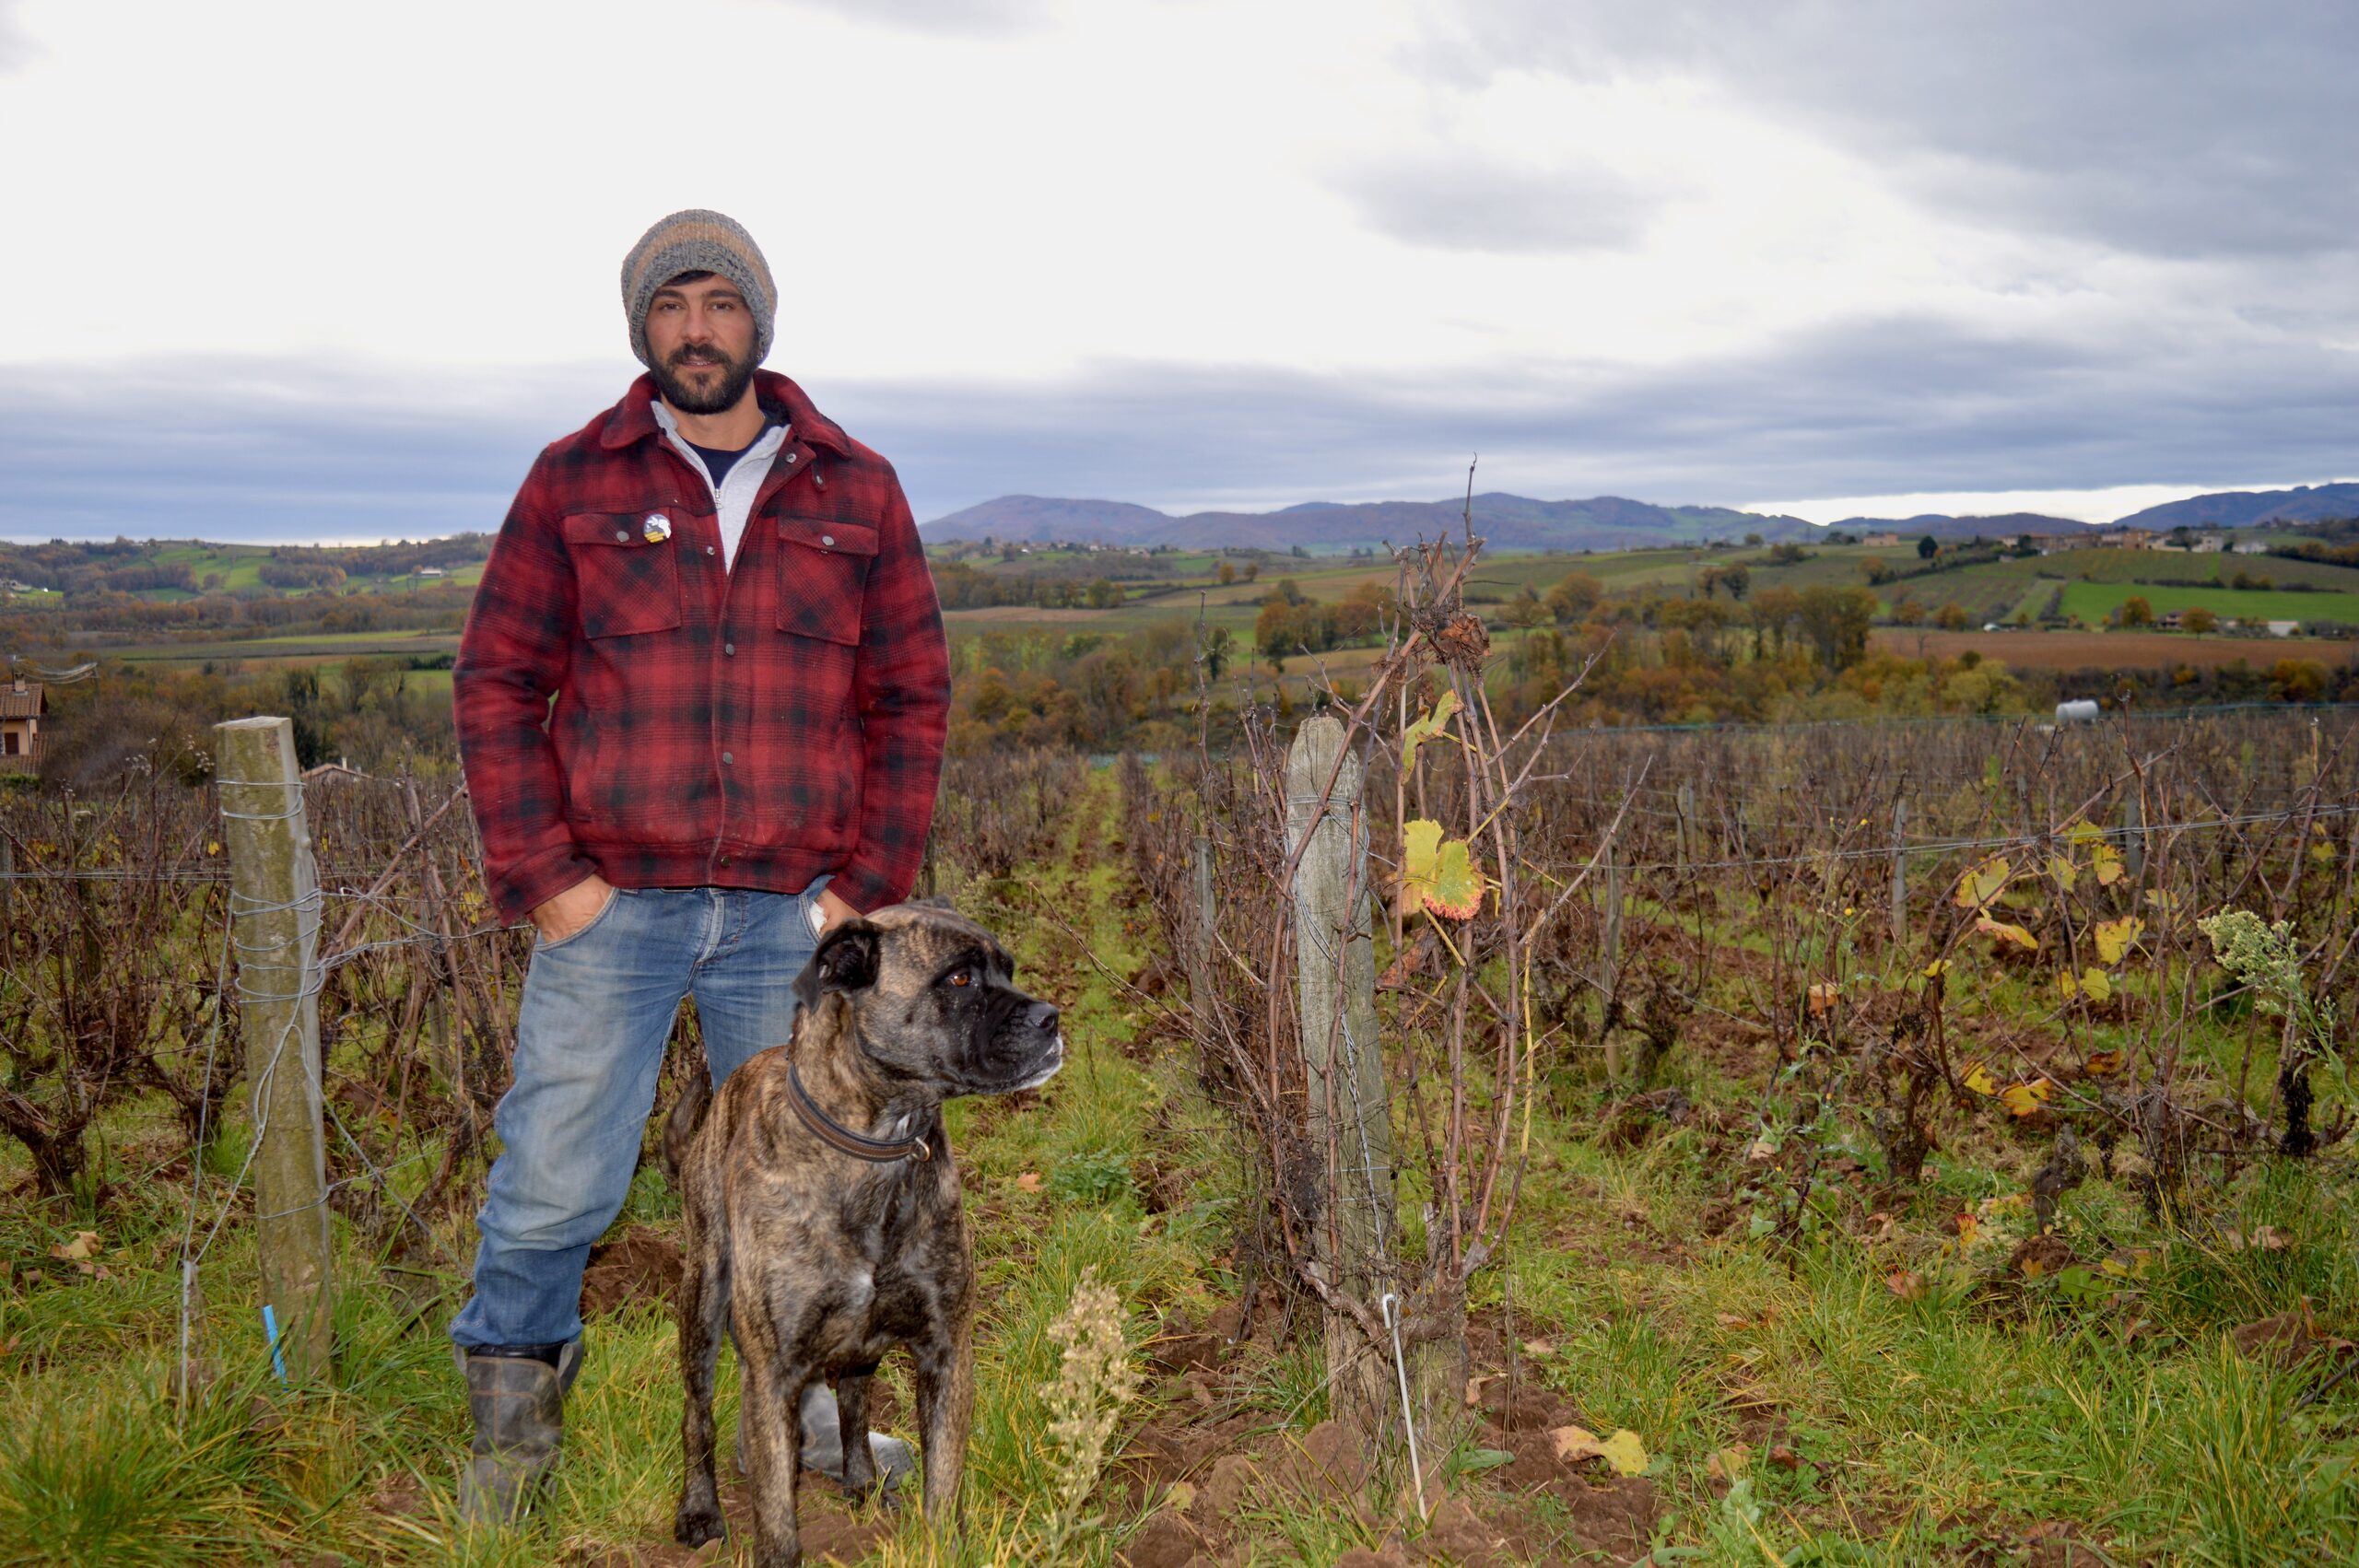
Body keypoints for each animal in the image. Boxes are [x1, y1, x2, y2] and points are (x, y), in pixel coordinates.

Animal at [670, 905, 1066, 1565]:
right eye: (959, 979)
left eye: (1007, 971)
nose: (1051, 1017)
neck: (880, 1143)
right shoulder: (773, 1373)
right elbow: (777, 1520)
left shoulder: (945, 1350)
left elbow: (943, 1480)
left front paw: (942, 1545)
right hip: (702, 1305)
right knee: (697, 1416)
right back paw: (699, 1509)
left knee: (853, 1402)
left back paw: (861, 1480)